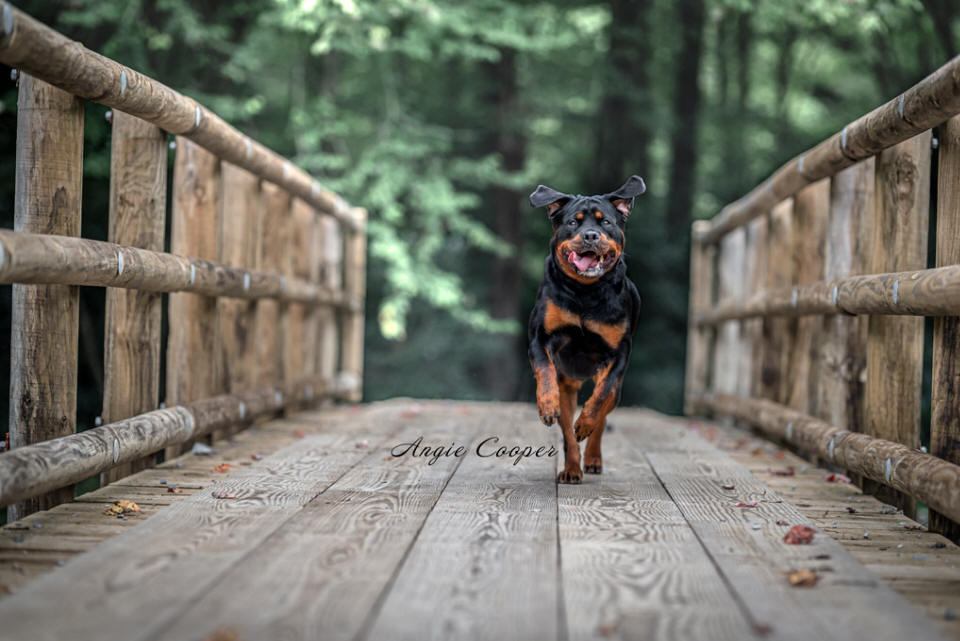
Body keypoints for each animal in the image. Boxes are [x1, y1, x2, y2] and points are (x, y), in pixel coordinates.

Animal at [524, 172, 644, 482]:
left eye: (606, 222)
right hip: (568, 385)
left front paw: (587, 423)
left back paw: (592, 457)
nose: (591, 235)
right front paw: (547, 405)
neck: (585, 292)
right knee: (567, 431)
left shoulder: (619, 352)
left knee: (603, 410)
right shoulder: (540, 337)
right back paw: (571, 469)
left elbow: (601, 396)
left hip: (615, 389)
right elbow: (544, 369)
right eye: (573, 222)